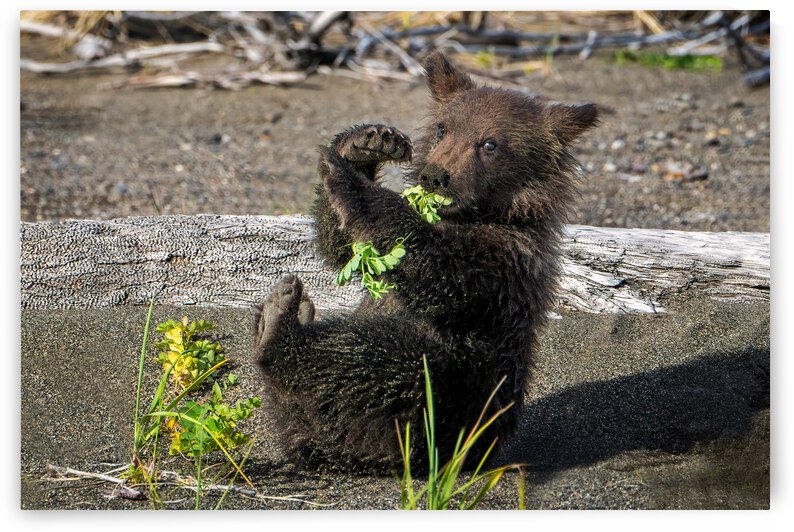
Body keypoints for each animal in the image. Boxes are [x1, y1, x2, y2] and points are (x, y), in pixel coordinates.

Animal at [255, 51, 598, 472]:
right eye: (442, 128)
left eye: (489, 144)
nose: (435, 175)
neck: (480, 214)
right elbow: (345, 249)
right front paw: (364, 144)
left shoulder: (504, 260)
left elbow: (438, 273)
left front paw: (350, 179)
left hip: (450, 396)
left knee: (385, 360)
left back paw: (279, 325)